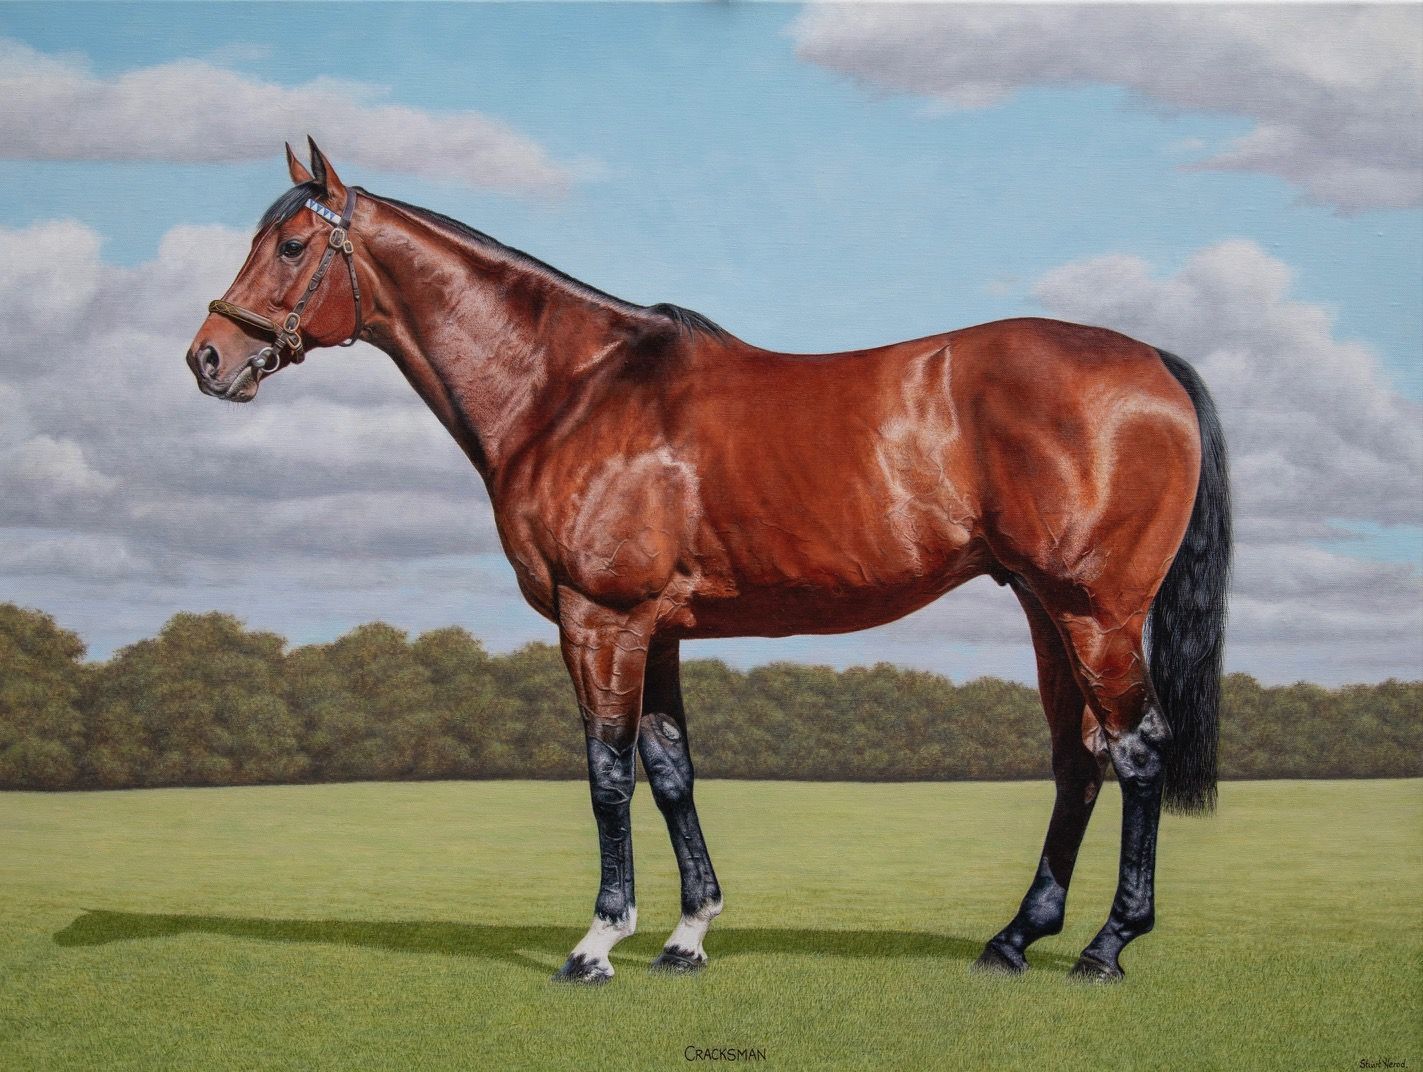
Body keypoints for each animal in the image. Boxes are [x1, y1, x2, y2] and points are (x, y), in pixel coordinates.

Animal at [186, 140, 1230, 985]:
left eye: (291, 246)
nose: (207, 358)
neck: (570, 389)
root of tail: (1153, 364)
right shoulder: (657, 629)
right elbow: (670, 768)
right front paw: (688, 935)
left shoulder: (599, 616)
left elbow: (607, 773)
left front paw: (598, 943)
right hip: (1045, 609)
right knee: (1077, 758)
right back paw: (1015, 939)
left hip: (1095, 610)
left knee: (1136, 749)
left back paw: (1104, 948)